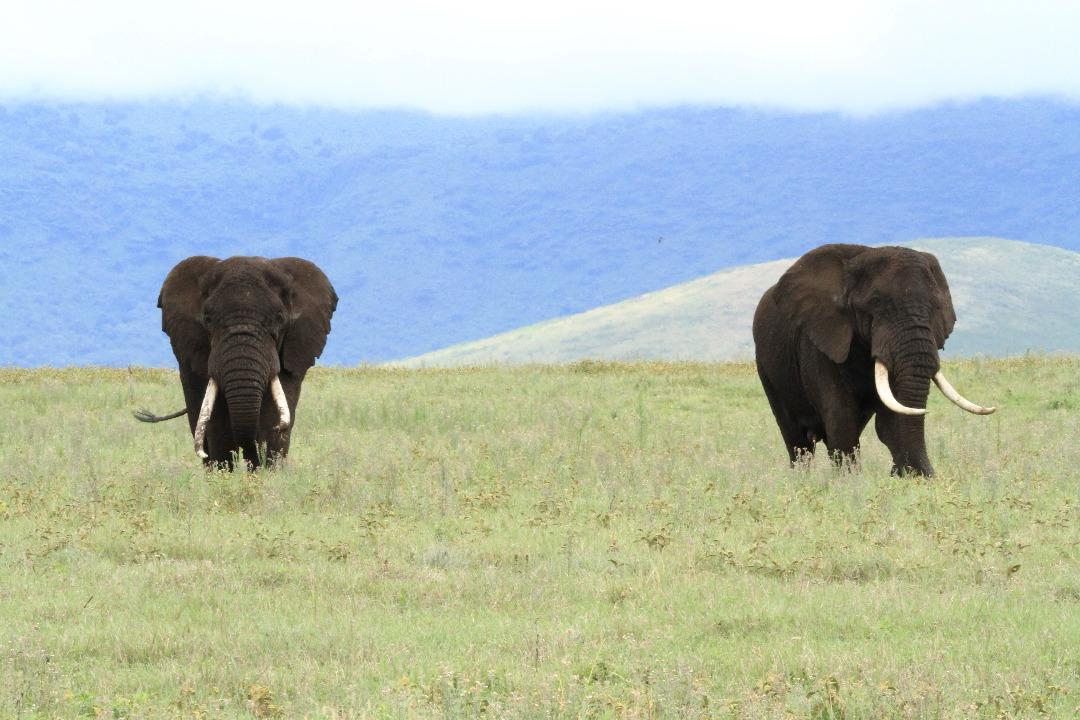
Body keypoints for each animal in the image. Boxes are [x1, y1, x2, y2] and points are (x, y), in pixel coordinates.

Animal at [135, 255, 337, 469]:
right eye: (208, 319)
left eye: (279, 318)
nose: (280, 427)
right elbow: (216, 424)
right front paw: (223, 475)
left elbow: (275, 414)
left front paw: (267, 471)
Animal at [752, 244, 995, 476]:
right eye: (876, 302)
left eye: (935, 306)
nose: (929, 474)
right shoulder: (821, 342)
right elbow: (841, 416)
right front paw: (850, 482)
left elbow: (892, 418)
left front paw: (907, 475)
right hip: (766, 368)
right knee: (798, 442)